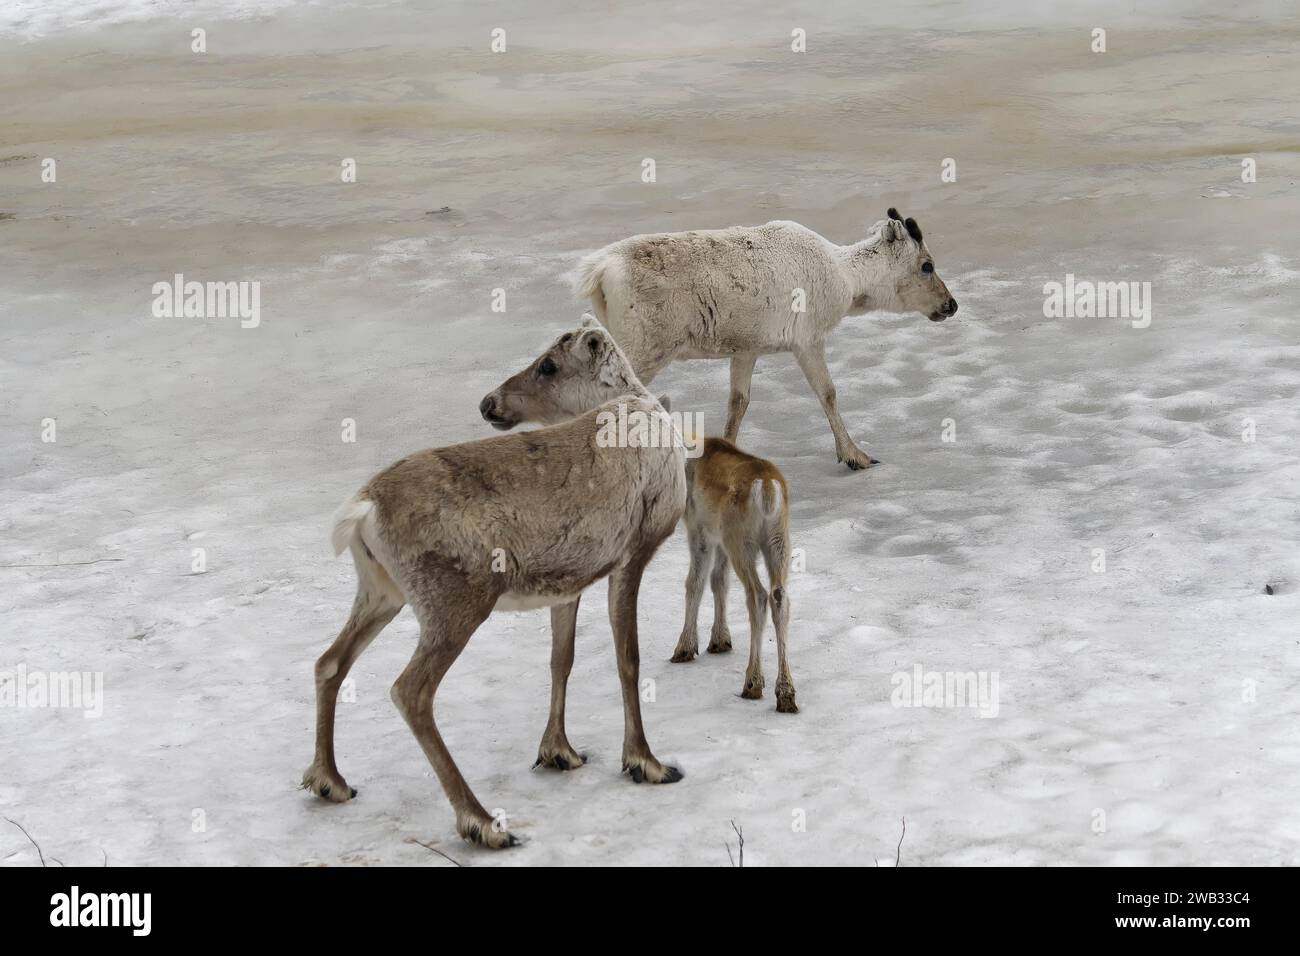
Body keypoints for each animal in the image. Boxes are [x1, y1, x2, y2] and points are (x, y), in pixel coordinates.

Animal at [676, 437, 795, 712]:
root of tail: (767, 488)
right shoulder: (719, 541)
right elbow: (719, 580)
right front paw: (719, 640)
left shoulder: (700, 530)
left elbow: (695, 583)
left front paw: (685, 647)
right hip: (779, 539)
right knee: (780, 596)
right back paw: (786, 693)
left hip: (740, 539)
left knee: (758, 595)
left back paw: (753, 683)